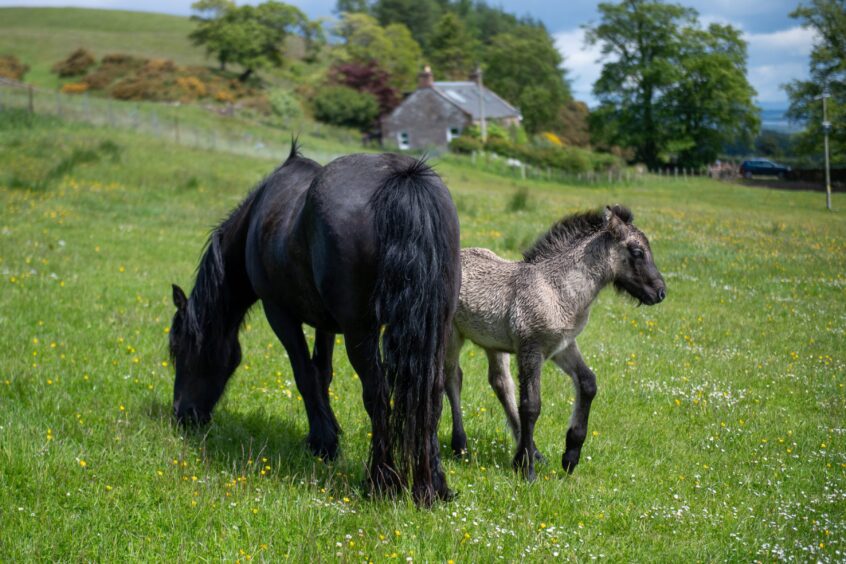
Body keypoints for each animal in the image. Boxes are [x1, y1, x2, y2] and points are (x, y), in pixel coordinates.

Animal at [170, 143, 464, 504]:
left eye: (181, 350)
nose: (182, 414)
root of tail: (403, 177)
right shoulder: (326, 323)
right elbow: (322, 372)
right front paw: (327, 432)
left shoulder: (279, 313)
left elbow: (304, 376)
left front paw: (323, 442)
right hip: (435, 328)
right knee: (432, 394)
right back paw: (432, 486)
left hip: (360, 332)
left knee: (378, 395)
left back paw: (380, 482)